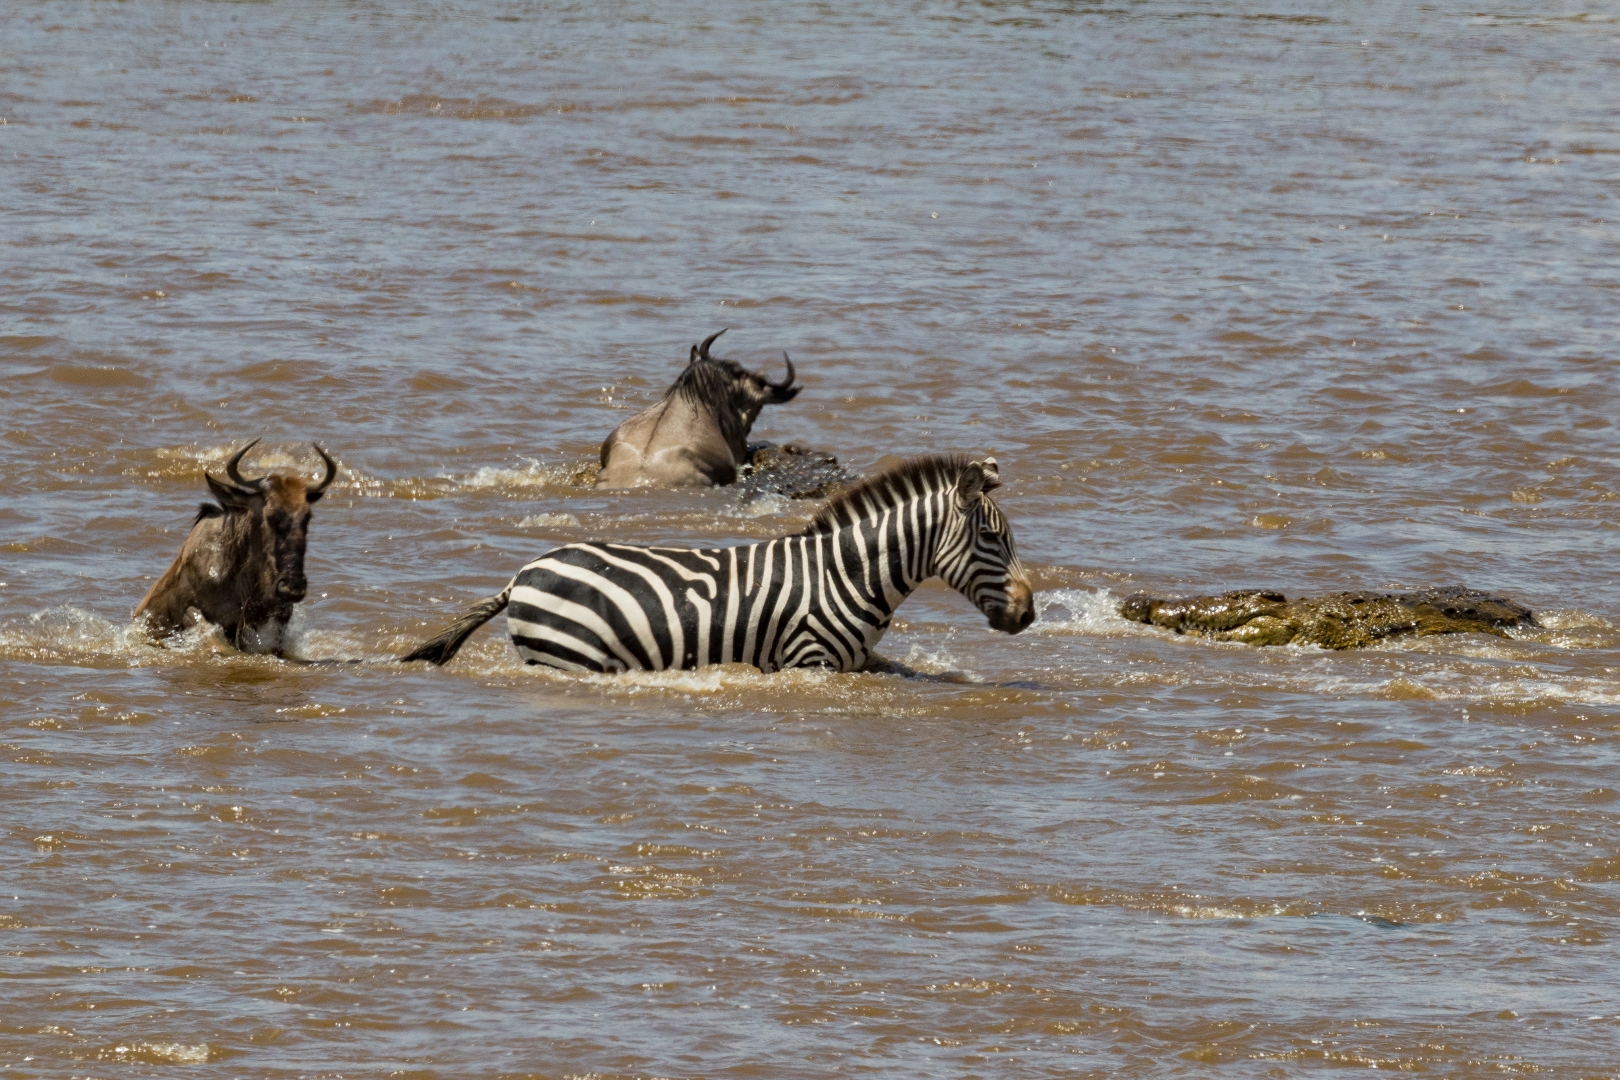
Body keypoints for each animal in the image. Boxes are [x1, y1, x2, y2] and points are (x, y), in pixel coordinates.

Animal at [396, 456, 1030, 676]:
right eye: (993, 538)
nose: (1028, 614)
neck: (846, 575)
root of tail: (521, 575)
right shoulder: (810, 664)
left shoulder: (858, 662)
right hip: (570, 656)